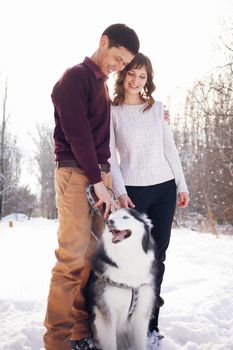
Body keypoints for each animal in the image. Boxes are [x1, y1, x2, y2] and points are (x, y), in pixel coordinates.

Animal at [86, 208, 157, 350]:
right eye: (110, 217)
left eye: (125, 217)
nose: (109, 222)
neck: (127, 258)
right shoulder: (106, 312)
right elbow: (110, 343)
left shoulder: (141, 311)